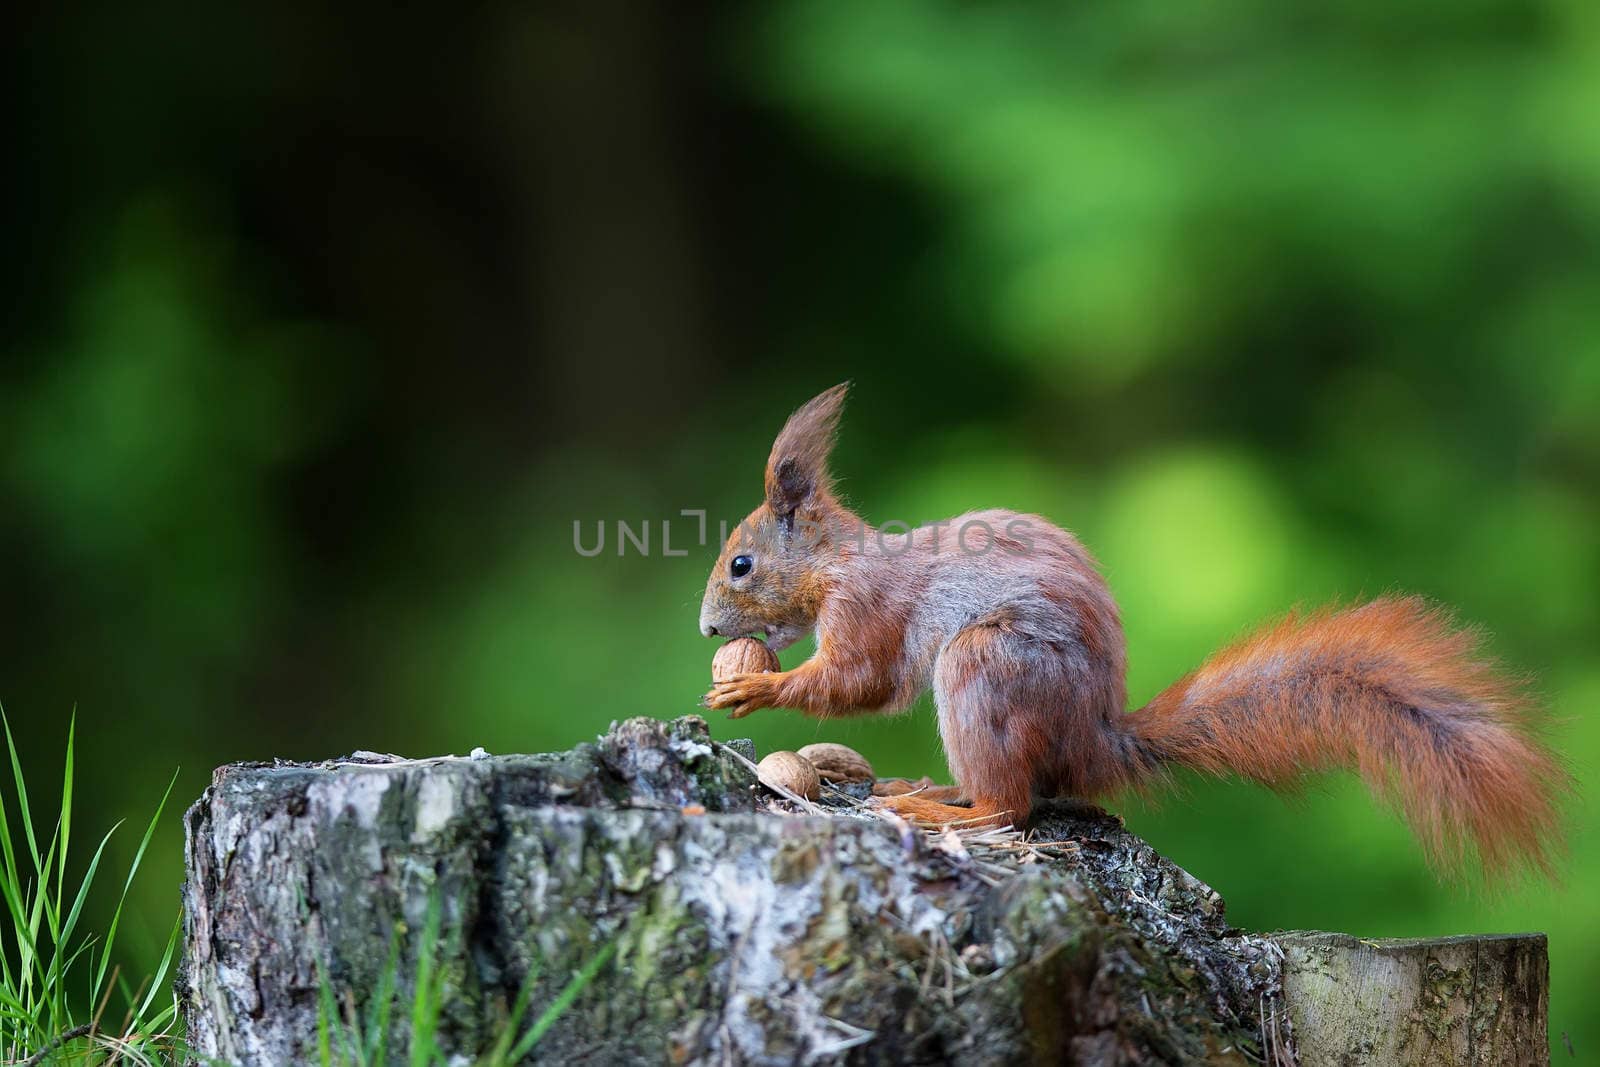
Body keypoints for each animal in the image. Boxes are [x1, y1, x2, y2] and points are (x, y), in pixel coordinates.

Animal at [697, 383, 1561, 876]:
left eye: (741, 563)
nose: (707, 629)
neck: (836, 563)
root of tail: (1096, 738)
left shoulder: (869, 606)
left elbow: (861, 680)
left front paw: (756, 683)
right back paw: (931, 788)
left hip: (987, 666)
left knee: (1012, 806)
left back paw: (942, 811)